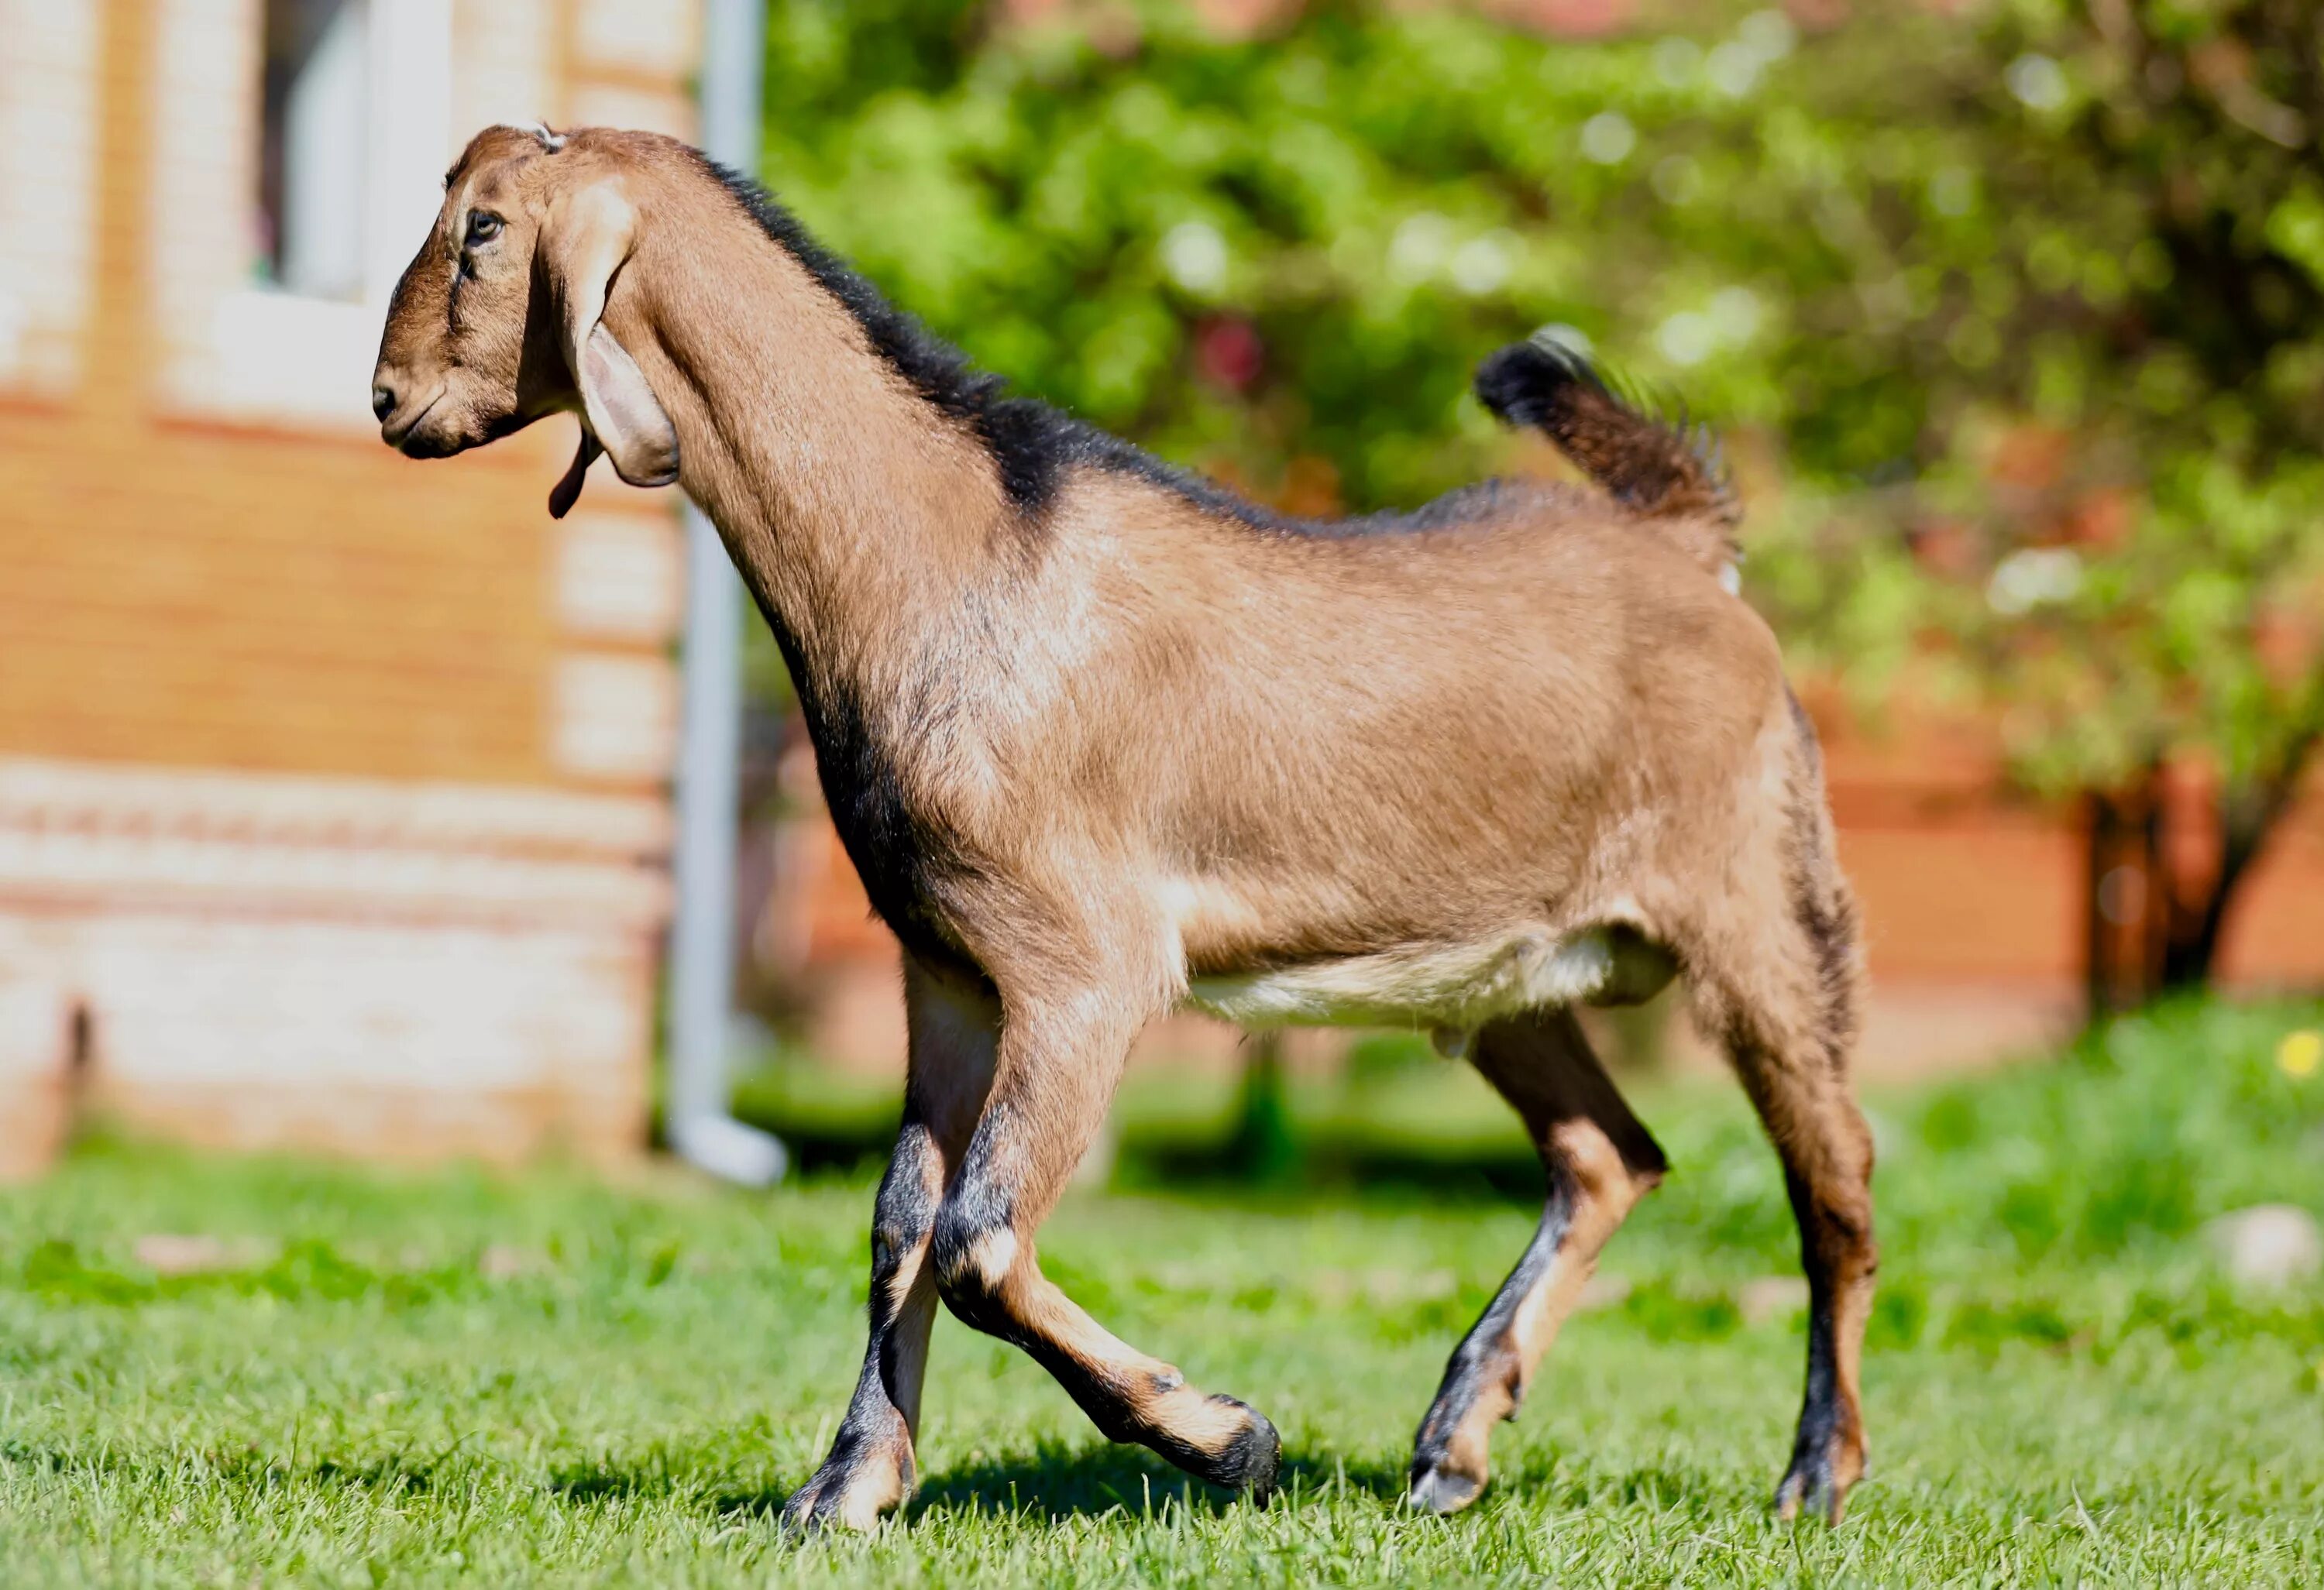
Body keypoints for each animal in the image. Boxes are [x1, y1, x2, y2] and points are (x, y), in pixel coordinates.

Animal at [372, 130, 1878, 1533]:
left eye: (484, 230)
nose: (389, 400)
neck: (950, 557)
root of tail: (1683, 543)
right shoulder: (947, 968)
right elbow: (900, 1221)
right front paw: (849, 1485)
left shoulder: (1086, 968)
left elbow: (979, 1239)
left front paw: (1224, 1436)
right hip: (1501, 969)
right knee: (1610, 1154)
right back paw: (1453, 1443)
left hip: (1755, 901)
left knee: (1835, 1173)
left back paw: (1816, 1471)